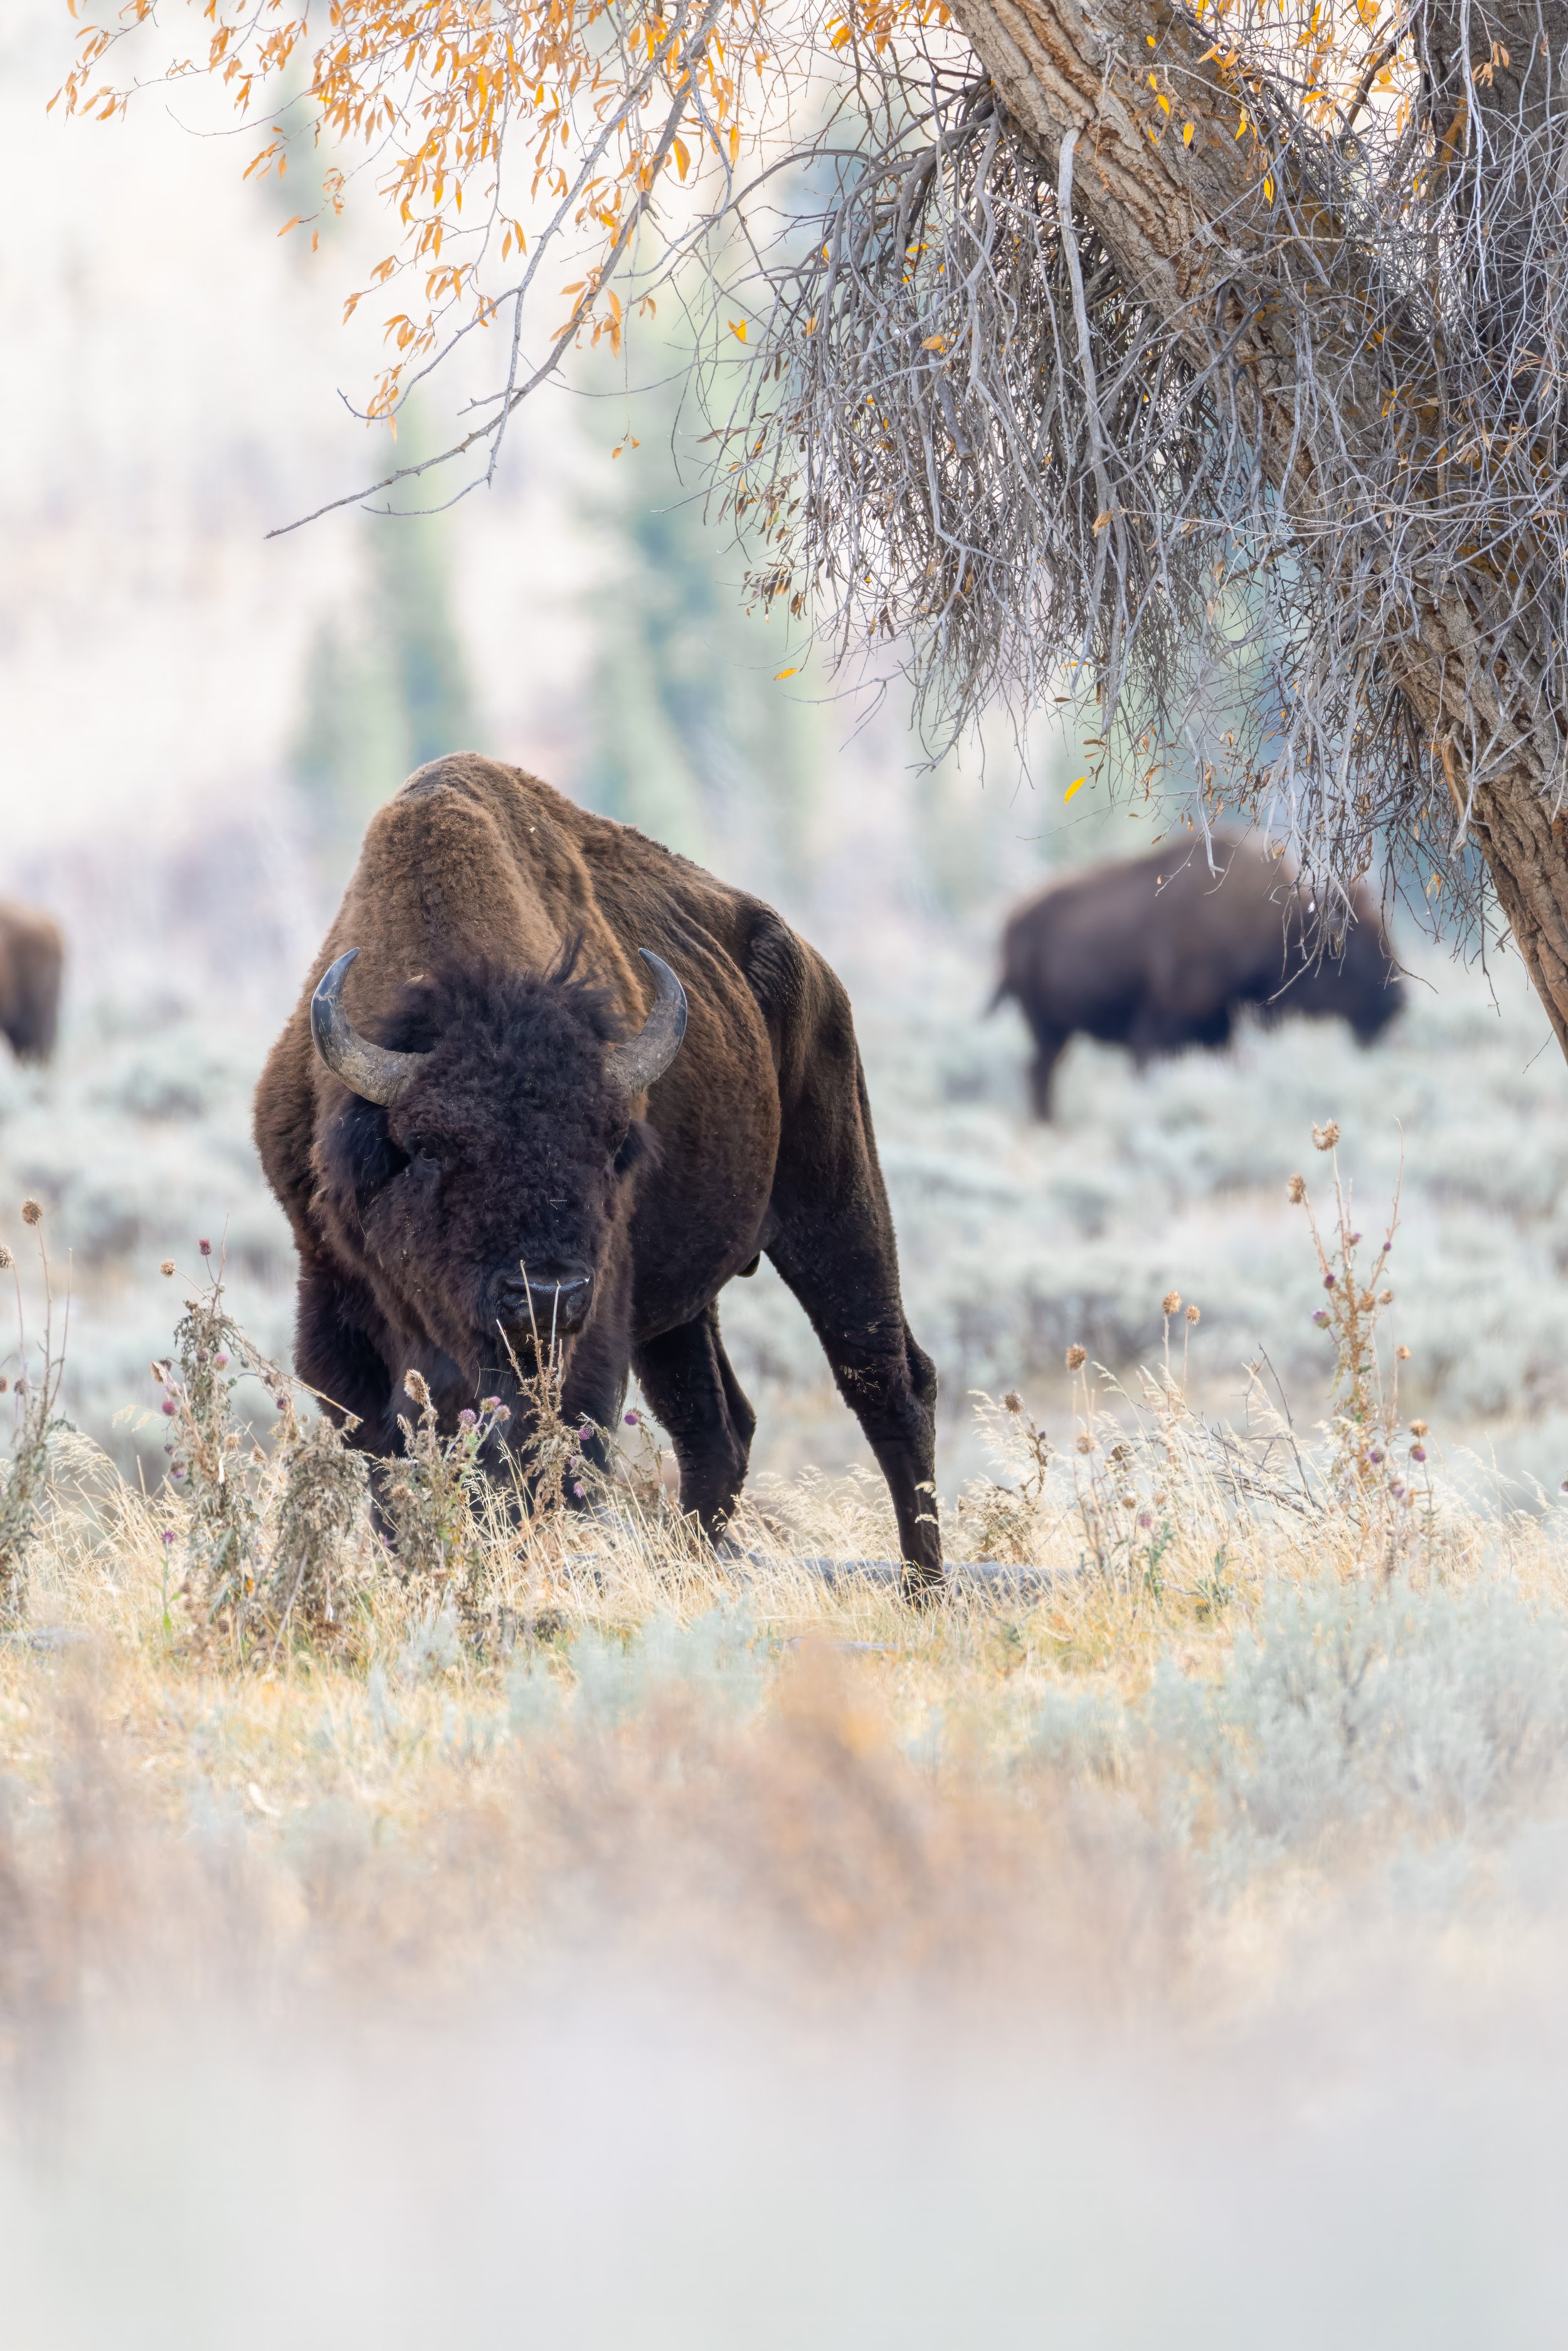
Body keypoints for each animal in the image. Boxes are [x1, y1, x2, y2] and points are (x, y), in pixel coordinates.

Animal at [254, 753, 941, 1590]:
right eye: (429, 1145)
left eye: (613, 1142)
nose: (546, 1295)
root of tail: (817, 973)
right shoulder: (335, 1308)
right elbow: (395, 1466)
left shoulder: (586, 1332)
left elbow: (544, 1464)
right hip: (680, 1307)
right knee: (717, 1424)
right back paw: (692, 1566)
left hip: (835, 1205)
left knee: (888, 1382)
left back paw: (925, 1587)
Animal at [992, 831, 1403, 1117]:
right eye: (1354, 950)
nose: (1396, 1003)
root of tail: (1015, 918)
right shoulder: (1158, 1031)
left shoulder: (1220, 1032)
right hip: (1048, 1027)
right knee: (1040, 1071)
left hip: (1055, 1031)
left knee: (1039, 1069)